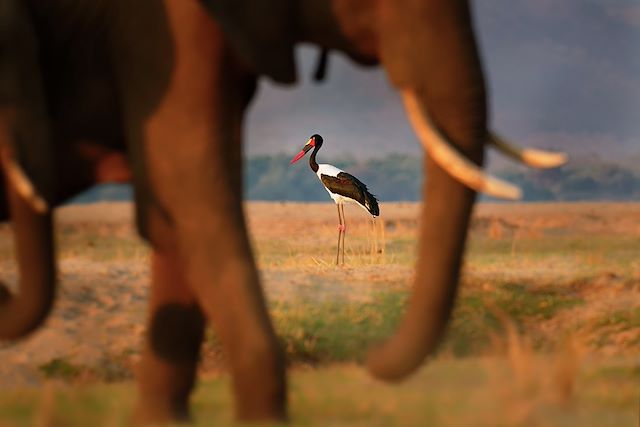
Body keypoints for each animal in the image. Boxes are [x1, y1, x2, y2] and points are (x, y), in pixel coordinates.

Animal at [0, 0, 564, 426]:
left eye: (311, 143)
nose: (303, 153)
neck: (321, 168)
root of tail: (372, 196)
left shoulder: (335, 196)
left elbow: (339, 223)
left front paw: (337, 263)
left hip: (359, 200)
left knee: (356, 215)